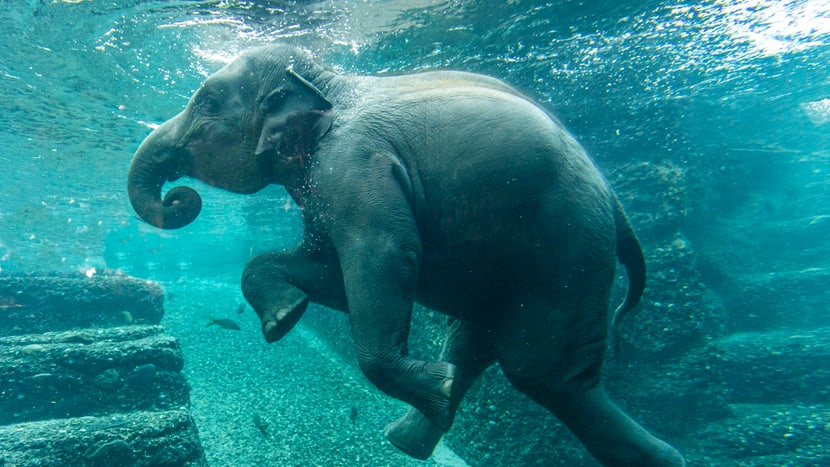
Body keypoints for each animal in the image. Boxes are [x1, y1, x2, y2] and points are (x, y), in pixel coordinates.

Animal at [127, 44, 685, 466]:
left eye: (207, 100)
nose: (179, 198)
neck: (328, 82)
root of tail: (616, 203)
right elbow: (332, 274)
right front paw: (285, 319)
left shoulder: (353, 165)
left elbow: (381, 256)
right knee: (479, 341)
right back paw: (411, 433)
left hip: (570, 245)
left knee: (543, 371)